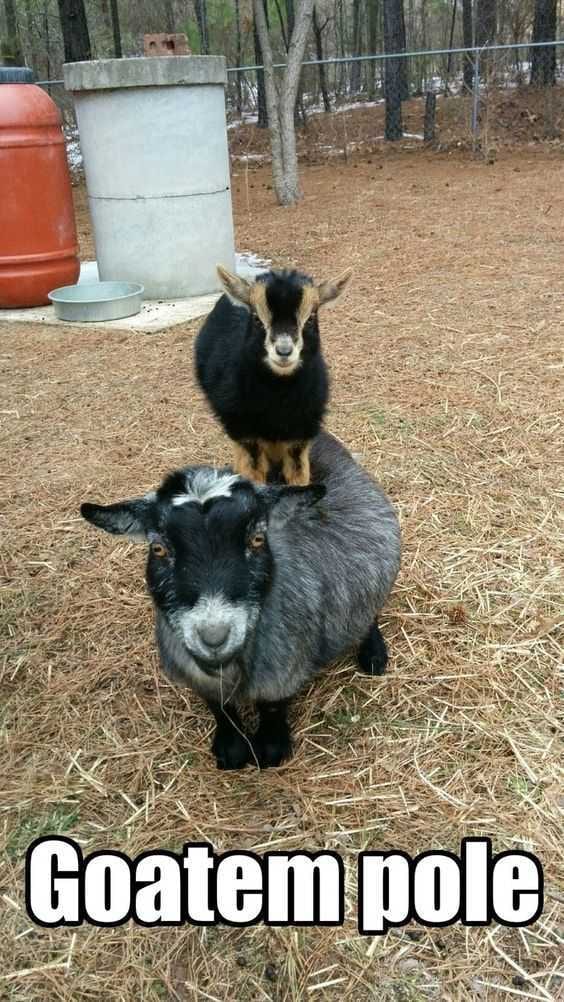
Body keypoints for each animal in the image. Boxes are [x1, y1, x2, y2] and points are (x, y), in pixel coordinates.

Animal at [81, 432, 401, 770]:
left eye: (257, 539)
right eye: (158, 549)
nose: (213, 636)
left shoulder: (281, 674)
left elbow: (272, 709)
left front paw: (271, 746)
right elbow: (220, 709)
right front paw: (231, 747)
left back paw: (373, 654)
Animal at [194, 266, 352, 487]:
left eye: (310, 318)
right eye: (257, 318)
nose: (284, 351)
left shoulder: (300, 435)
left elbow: (298, 476)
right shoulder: (245, 435)